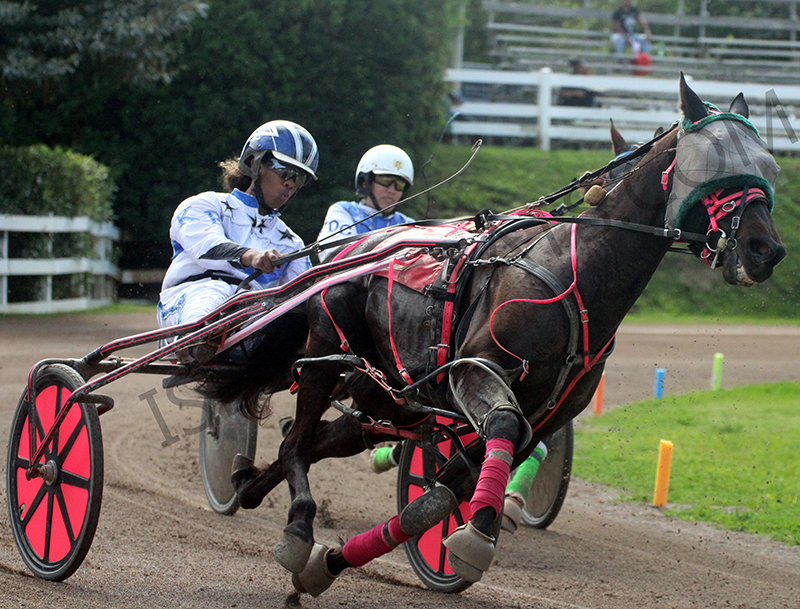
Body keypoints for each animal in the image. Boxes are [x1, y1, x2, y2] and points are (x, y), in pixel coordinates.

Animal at [217, 75, 785, 595]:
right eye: (712, 163)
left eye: (769, 165)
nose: (766, 250)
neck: (575, 274)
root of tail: (350, 253)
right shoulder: (476, 372)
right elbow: (492, 439)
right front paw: (473, 537)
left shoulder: (545, 414)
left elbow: (446, 492)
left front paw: (345, 559)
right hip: (328, 356)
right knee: (297, 442)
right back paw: (296, 527)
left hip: (388, 398)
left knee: (313, 440)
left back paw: (250, 488)